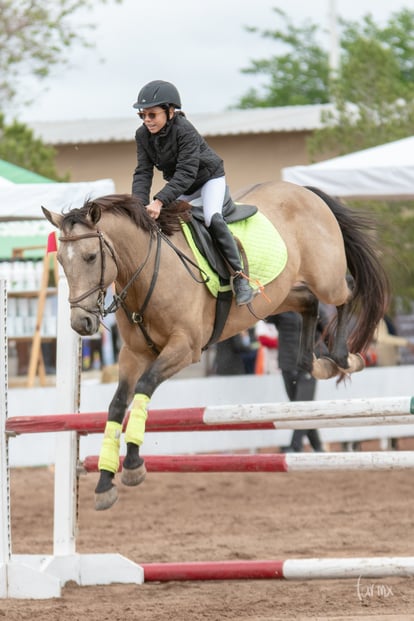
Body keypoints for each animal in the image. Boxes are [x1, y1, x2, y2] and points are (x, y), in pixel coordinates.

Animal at [41, 179, 388, 508]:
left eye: (90, 257)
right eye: (62, 263)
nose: (81, 324)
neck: (147, 270)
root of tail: (306, 192)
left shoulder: (185, 347)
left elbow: (145, 385)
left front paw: (134, 465)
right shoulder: (134, 354)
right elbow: (116, 405)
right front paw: (104, 483)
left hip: (325, 278)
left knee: (347, 292)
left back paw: (344, 358)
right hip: (277, 297)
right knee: (307, 304)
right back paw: (317, 364)